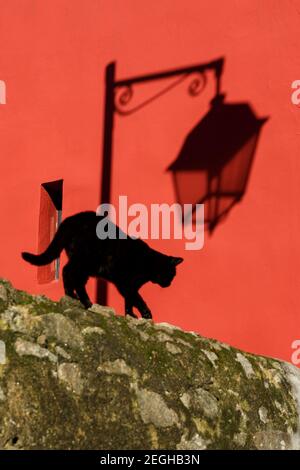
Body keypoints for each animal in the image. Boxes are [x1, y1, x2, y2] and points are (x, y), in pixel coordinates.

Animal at [21, 212, 183, 320]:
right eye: (172, 274)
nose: (169, 284)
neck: (147, 262)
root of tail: (70, 220)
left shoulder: (130, 286)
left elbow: (129, 300)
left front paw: (130, 314)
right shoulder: (125, 283)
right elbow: (137, 298)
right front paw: (145, 313)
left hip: (82, 263)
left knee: (68, 272)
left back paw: (71, 295)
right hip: (85, 261)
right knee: (73, 276)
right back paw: (86, 302)